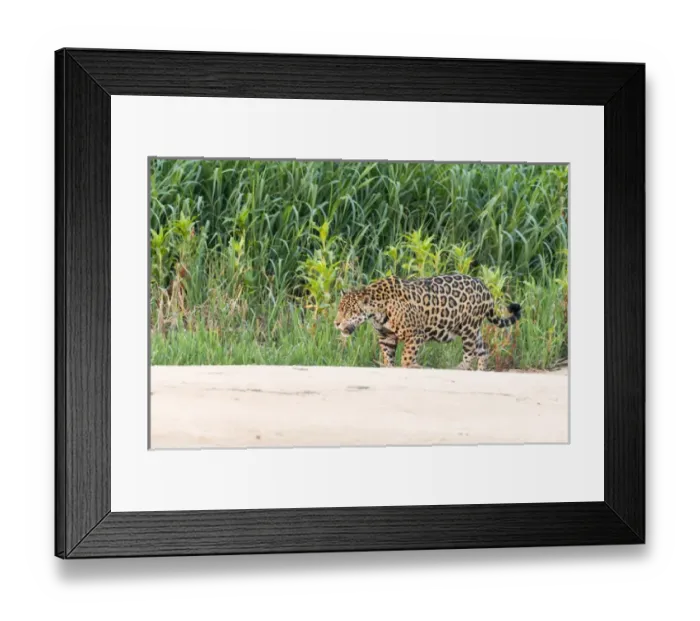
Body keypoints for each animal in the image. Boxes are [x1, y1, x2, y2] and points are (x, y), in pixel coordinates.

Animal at [334, 273, 522, 370]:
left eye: (348, 312)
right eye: (339, 309)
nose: (336, 323)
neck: (377, 310)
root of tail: (485, 288)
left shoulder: (415, 334)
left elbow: (406, 357)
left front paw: (413, 366)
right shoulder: (386, 337)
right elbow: (388, 357)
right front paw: (389, 367)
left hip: (468, 328)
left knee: (471, 353)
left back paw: (460, 368)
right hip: (475, 330)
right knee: (483, 351)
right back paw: (480, 371)